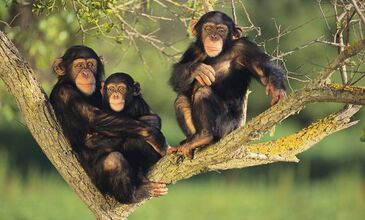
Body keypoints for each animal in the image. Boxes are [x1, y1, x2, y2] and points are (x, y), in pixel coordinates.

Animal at [50, 45, 168, 204]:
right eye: (79, 65)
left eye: (91, 65)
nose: (86, 73)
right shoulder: (65, 93)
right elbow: (94, 117)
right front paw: (155, 136)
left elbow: (150, 116)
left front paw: (152, 123)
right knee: (113, 160)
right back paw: (135, 194)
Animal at [169, 11, 286, 158]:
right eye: (208, 28)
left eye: (221, 30)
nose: (213, 36)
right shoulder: (193, 49)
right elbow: (177, 77)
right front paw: (197, 69)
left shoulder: (244, 47)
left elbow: (263, 69)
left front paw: (277, 89)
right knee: (181, 99)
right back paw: (191, 141)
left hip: (226, 127)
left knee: (202, 92)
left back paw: (204, 136)